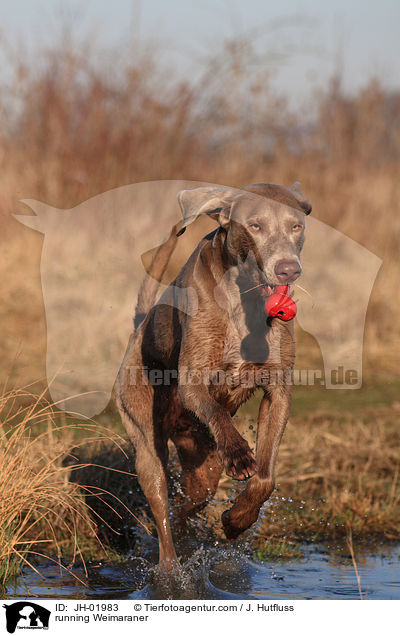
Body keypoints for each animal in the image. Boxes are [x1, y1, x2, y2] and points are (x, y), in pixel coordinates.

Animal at [114, 181, 310, 564]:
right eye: (255, 226)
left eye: (296, 226)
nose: (288, 270)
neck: (245, 299)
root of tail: (138, 329)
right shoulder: (194, 380)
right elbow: (216, 410)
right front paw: (238, 453)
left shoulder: (279, 390)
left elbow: (266, 476)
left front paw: (237, 520)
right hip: (144, 433)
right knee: (161, 505)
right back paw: (172, 567)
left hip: (202, 458)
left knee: (187, 503)